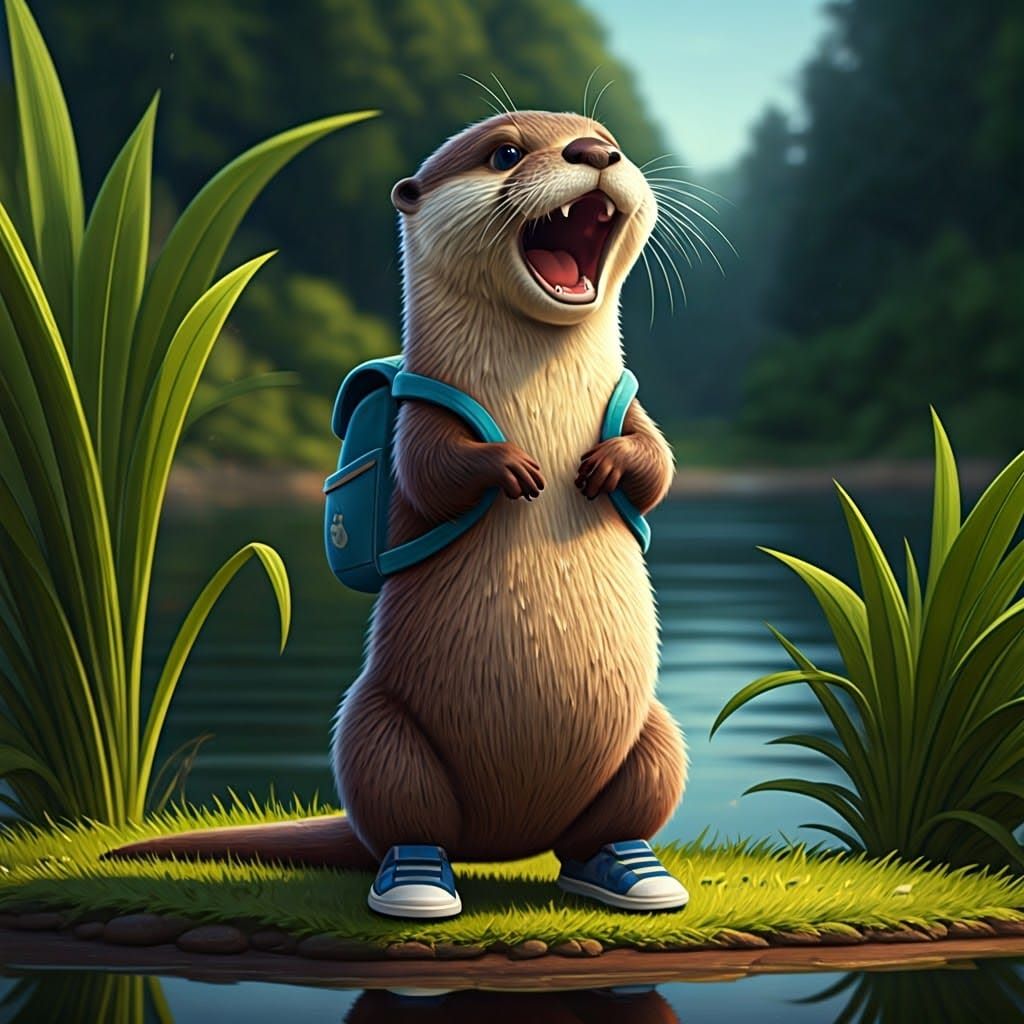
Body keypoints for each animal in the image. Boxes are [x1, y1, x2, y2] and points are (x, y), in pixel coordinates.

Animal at [110, 110, 687, 917]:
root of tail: (509, 839)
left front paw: (605, 467)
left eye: (612, 140)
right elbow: (430, 471)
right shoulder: (420, 410)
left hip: (654, 736)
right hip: (379, 734)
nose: (596, 153)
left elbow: (658, 461)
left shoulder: (630, 400)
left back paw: (629, 871)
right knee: (407, 818)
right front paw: (512, 469)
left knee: (611, 820)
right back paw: (417, 881)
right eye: (505, 153)